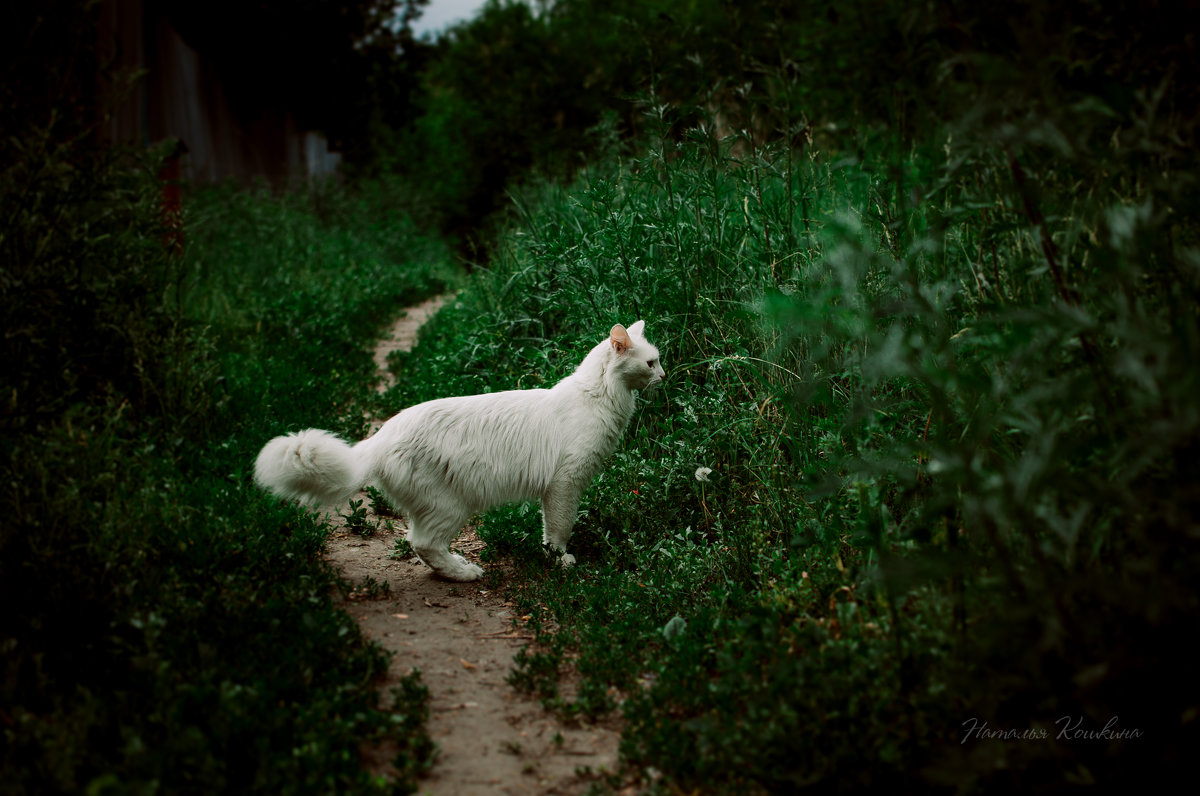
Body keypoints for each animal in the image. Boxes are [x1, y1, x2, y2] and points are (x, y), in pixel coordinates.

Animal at [254, 321, 667, 583]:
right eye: (651, 362)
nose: (664, 376)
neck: (600, 397)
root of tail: (382, 435)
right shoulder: (564, 485)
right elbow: (559, 529)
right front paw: (559, 560)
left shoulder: (559, 487)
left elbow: (549, 528)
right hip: (450, 505)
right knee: (422, 543)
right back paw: (464, 572)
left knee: (420, 544)